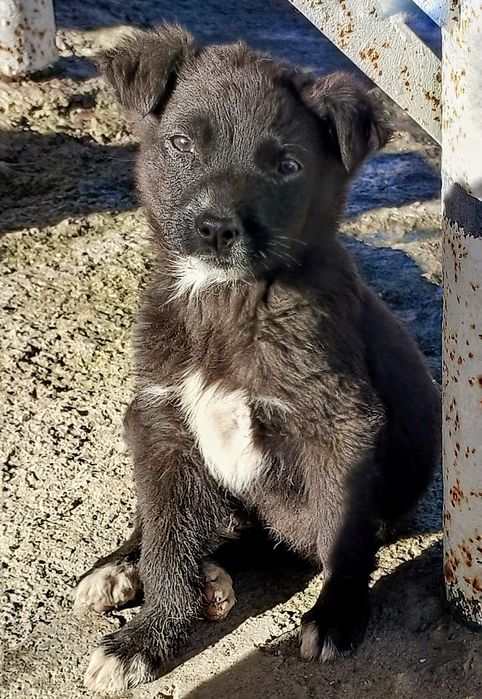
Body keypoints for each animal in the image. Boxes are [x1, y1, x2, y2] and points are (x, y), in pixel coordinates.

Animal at [73, 24, 440, 692]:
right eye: (182, 143)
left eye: (287, 166)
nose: (218, 230)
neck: (228, 299)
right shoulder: (163, 419)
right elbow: (165, 541)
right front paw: (149, 635)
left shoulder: (341, 426)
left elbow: (342, 536)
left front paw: (336, 615)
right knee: (161, 524)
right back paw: (120, 567)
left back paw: (216, 577)